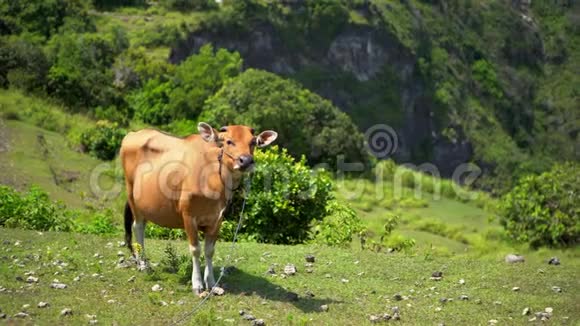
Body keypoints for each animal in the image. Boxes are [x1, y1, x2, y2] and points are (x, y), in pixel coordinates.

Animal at [119, 123, 278, 296]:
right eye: (229, 141)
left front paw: (212, 282)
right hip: (132, 196)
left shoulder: (218, 219)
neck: (213, 177)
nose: (246, 161)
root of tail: (133, 134)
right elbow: (195, 249)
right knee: (138, 227)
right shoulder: (188, 216)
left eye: (253, 142)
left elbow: (209, 250)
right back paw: (143, 264)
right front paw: (197, 284)